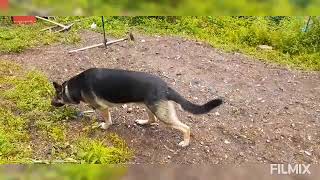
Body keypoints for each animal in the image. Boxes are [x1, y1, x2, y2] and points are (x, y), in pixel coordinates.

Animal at [52, 68, 222, 147]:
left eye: (56, 96)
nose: (51, 104)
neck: (73, 87)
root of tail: (166, 87)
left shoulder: (103, 107)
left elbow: (107, 120)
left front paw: (105, 126)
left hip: (162, 114)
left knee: (185, 127)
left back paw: (185, 142)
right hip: (149, 106)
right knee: (152, 120)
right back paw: (143, 122)